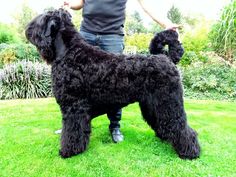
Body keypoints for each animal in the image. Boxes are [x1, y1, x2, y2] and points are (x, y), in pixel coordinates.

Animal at [25, 8, 199, 159]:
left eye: (42, 19)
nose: (28, 30)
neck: (70, 52)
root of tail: (167, 58)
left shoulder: (74, 107)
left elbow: (71, 132)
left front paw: (68, 151)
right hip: (153, 105)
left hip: (169, 103)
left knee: (182, 126)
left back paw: (190, 152)